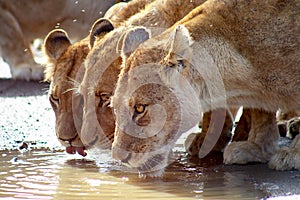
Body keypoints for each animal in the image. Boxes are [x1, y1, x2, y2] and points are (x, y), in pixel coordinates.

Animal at [110, 0, 300, 175]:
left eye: (140, 108)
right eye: (115, 108)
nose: (119, 157)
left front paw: (293, 154)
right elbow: (260, 114)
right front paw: (258, 148)